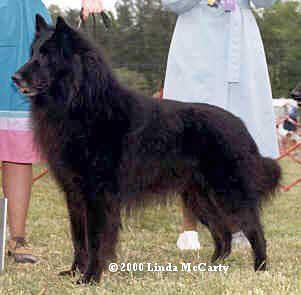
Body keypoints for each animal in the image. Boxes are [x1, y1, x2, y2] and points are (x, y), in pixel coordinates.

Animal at [13, 15, 282, 284]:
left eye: (46, 55)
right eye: (32, 52)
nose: (15, 77)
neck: (80, 103)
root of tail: (239, 124)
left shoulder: (97, 194)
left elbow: (95, 240)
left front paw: (90, 277)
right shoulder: (74, 193)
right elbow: (78, 238)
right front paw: (74, 272)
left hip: (228, 192)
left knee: (254, 228)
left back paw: (260, 267)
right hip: (198, 197)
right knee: (224, 233)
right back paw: (211, 267)